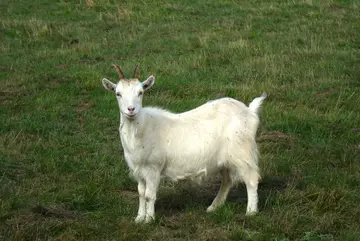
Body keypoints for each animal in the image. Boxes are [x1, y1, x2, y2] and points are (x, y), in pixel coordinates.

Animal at [102, 64, 266, 224]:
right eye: (118, 93)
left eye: (140, 92)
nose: (131, 109)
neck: (141, 128)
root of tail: (250, 111)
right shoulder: (138, 170)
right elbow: (141, 193)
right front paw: (138, 218)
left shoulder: (153, 167)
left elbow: (149, 195)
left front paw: (149, 220)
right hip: (225, 159)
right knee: (227, 180)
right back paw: (213, 207)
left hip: (242, 152)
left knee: (251, 179)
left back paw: (251, 212)